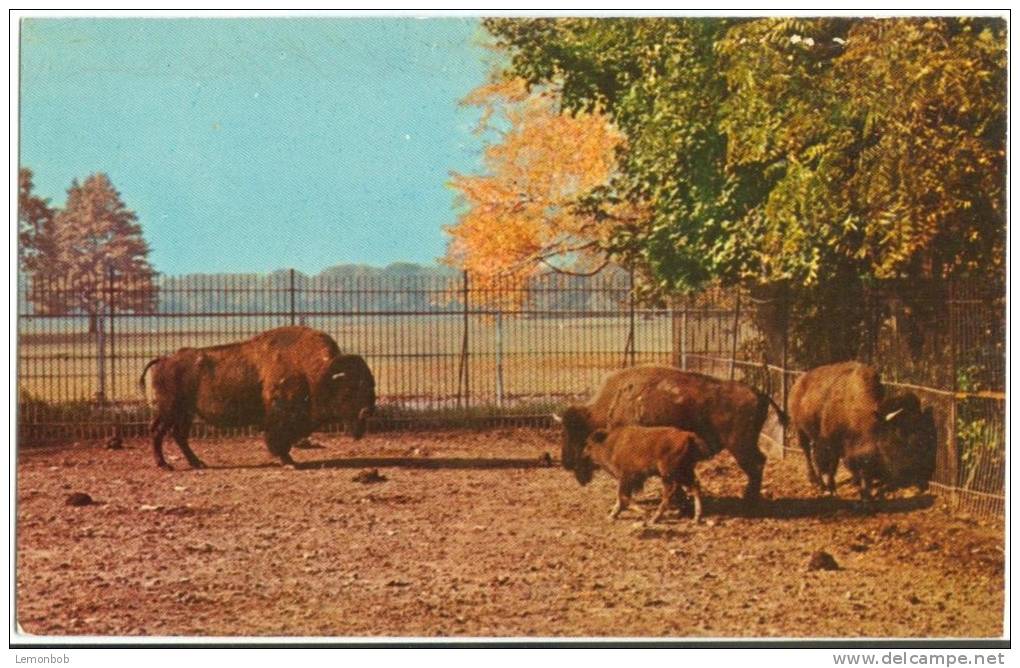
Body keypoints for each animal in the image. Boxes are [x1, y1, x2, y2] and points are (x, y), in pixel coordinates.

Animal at [137, 326, 373, 467]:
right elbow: (279, 439)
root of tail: (164, 360)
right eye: (349, 389)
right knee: (158, 431)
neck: (315, 372)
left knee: (178, 435)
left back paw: (197, 463)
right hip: (171, 410)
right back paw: (164, 465)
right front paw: (288, 461)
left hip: (185, 412)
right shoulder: (280, 417)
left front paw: (288, 460)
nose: (367, 411)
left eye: (370, 384)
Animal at [558, 365, 787, 507]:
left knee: (756, 465)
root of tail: (759, 393)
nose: (566, 463)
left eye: (575, 433)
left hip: (740, 446)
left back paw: (748, 501)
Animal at [787, 361, 938, 501]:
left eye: (921, 431)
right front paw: (832, 489)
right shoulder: (832, 443)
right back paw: (815, 481)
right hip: (800, 430)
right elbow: (832, 466)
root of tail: (797, 384)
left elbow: (864, 469)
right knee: (808, 453)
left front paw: (864, 492)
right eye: (898, 432)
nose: (912, 474)